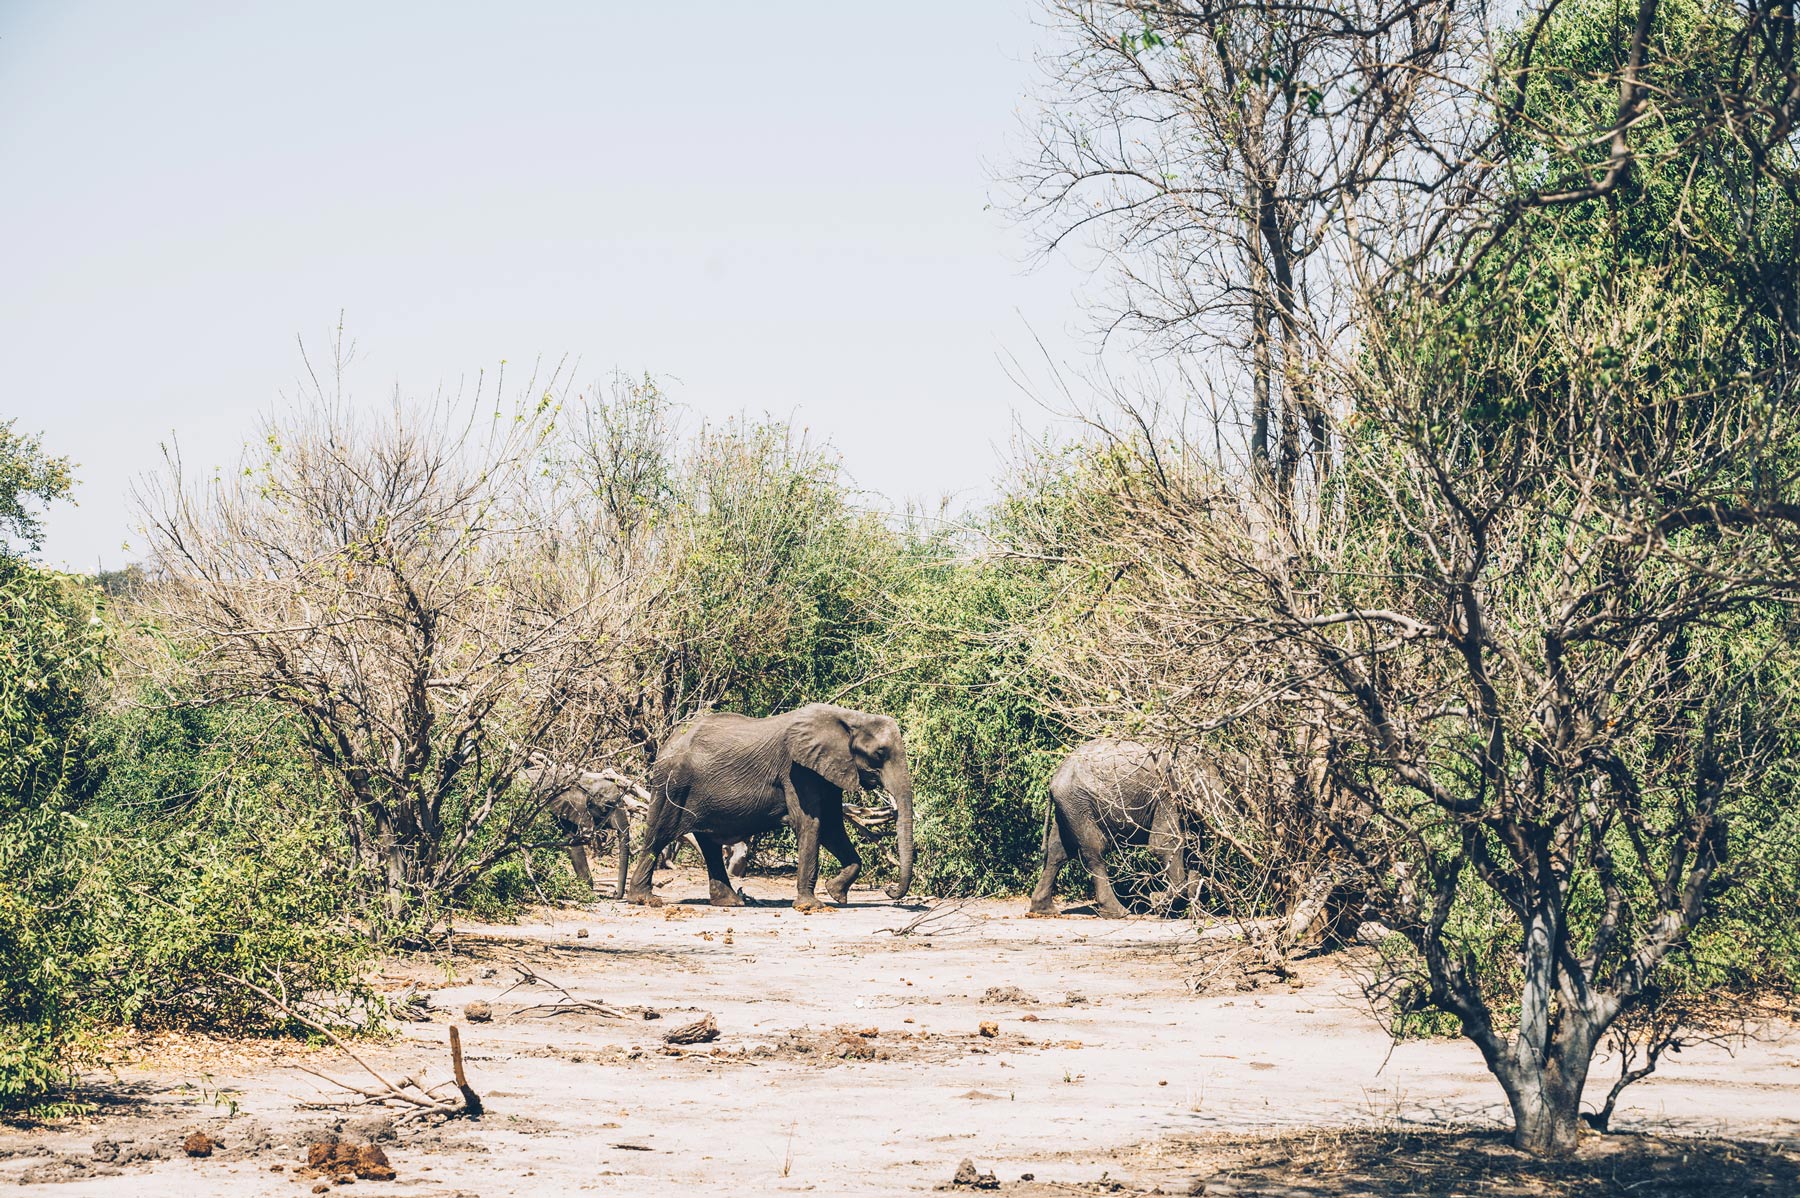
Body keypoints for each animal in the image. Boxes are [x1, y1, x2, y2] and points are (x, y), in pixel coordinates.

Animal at [630, 701, 914, 906]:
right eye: (880, 753)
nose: (889, 891)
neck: (850, 718)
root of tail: (668, 742)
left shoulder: (829, 771)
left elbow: (832, 827)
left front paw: (835, 894)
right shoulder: (796, 771)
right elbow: (810, 824)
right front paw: (811, 906)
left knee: (708, 843)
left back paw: (731, 903)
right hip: (672, 784)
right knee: (659, 834)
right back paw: (645, 899)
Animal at [1029, 737, 1195, 913]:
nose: (1155, 897)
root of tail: (1054, 778)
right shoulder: (1167, 792)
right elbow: (1164, 843)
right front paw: (1159, 903)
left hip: (1068, 806)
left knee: (1058, 851)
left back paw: (1044, 910)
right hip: (1078, 803)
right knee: (1095, 850)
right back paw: (1118, 912)